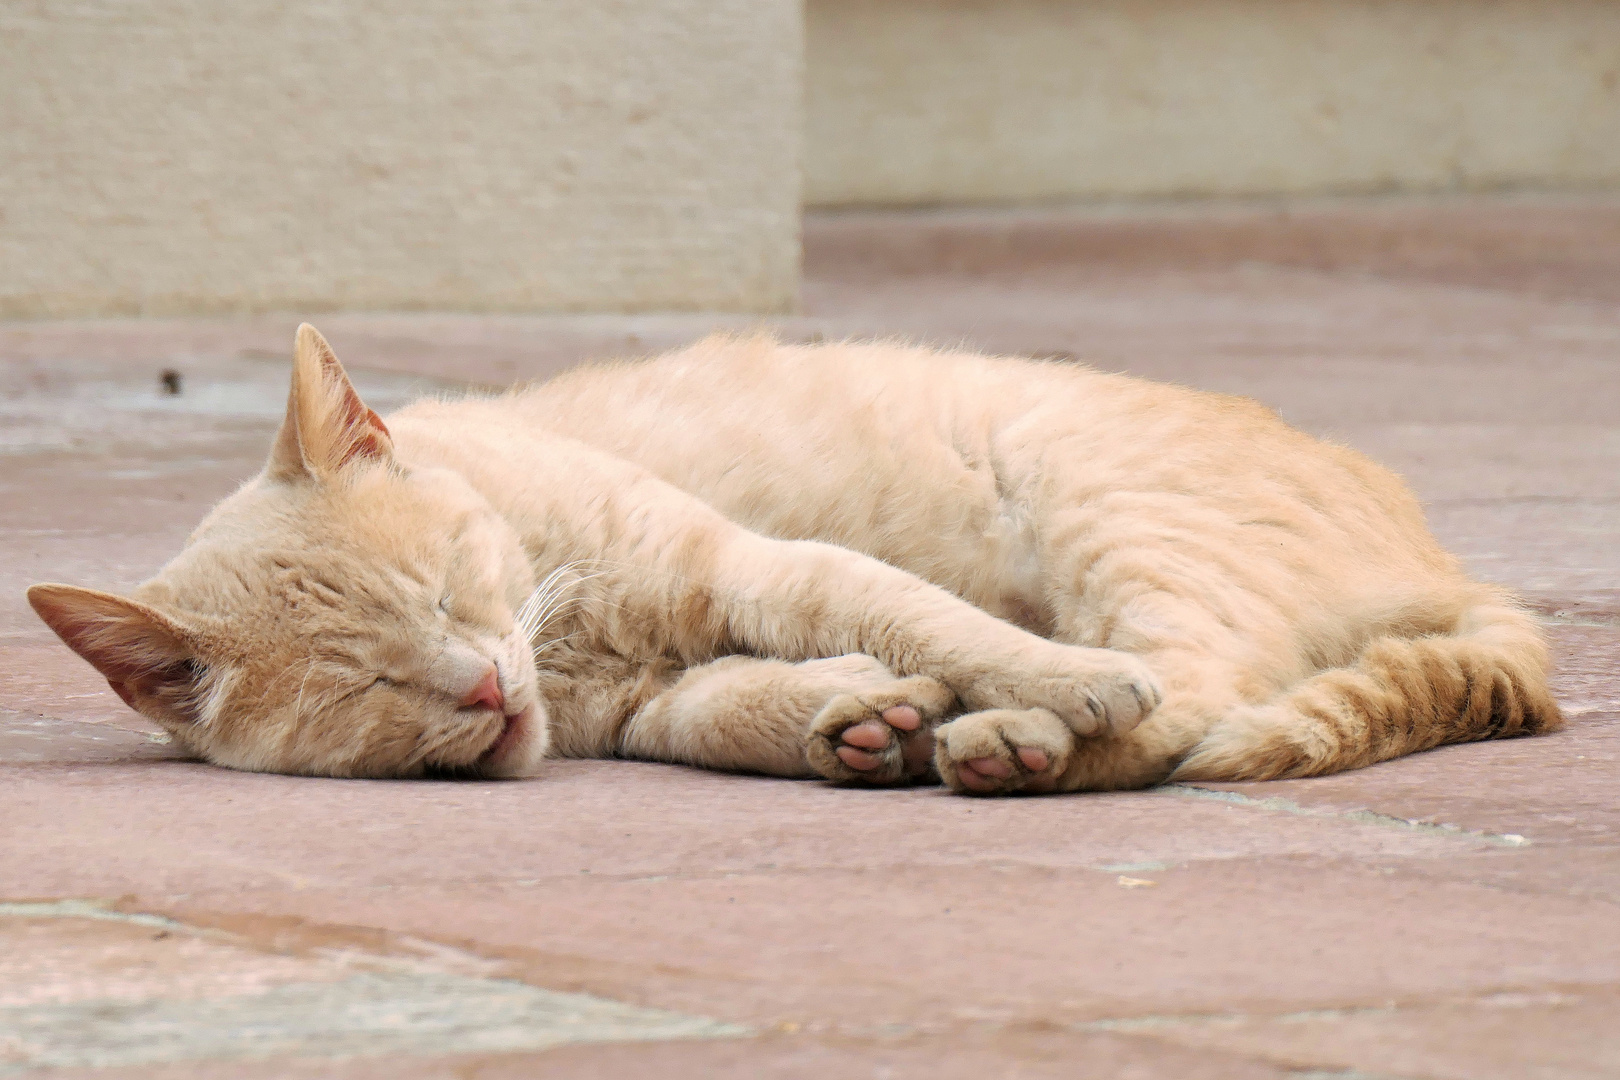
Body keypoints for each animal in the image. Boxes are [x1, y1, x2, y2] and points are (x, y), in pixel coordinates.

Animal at [31, 323, 1561, 793]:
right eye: (370, 681)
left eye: (446, 592)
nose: (478, 685)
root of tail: (1447, 560)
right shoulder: (654, 703)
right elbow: (729, 710)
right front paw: (856, 720)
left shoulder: (751, 565)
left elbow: (915, 613)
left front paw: (1001, 681)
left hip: (1108, 511)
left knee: (1192, 696)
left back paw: (1026, 727)